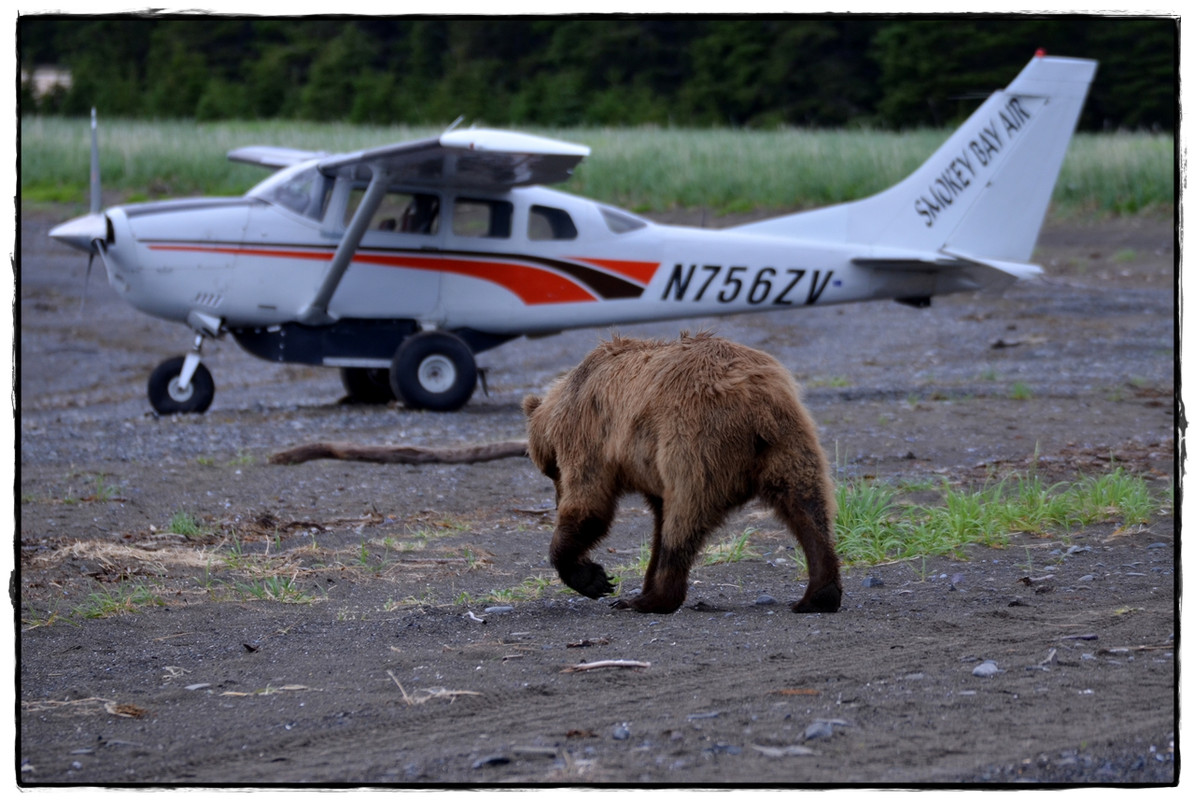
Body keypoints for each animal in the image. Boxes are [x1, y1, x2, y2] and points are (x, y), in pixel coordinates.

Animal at [521, 330, 841, 612]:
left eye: (551, 471)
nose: (555, 500)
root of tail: (754, 400)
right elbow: (656, 518)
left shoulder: (590, 434)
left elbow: (589, 506)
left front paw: (594, 579)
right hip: (788, 443)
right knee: (808, 507)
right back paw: (818, 595)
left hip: (694, 444)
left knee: (683, 520)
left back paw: (650, 600)